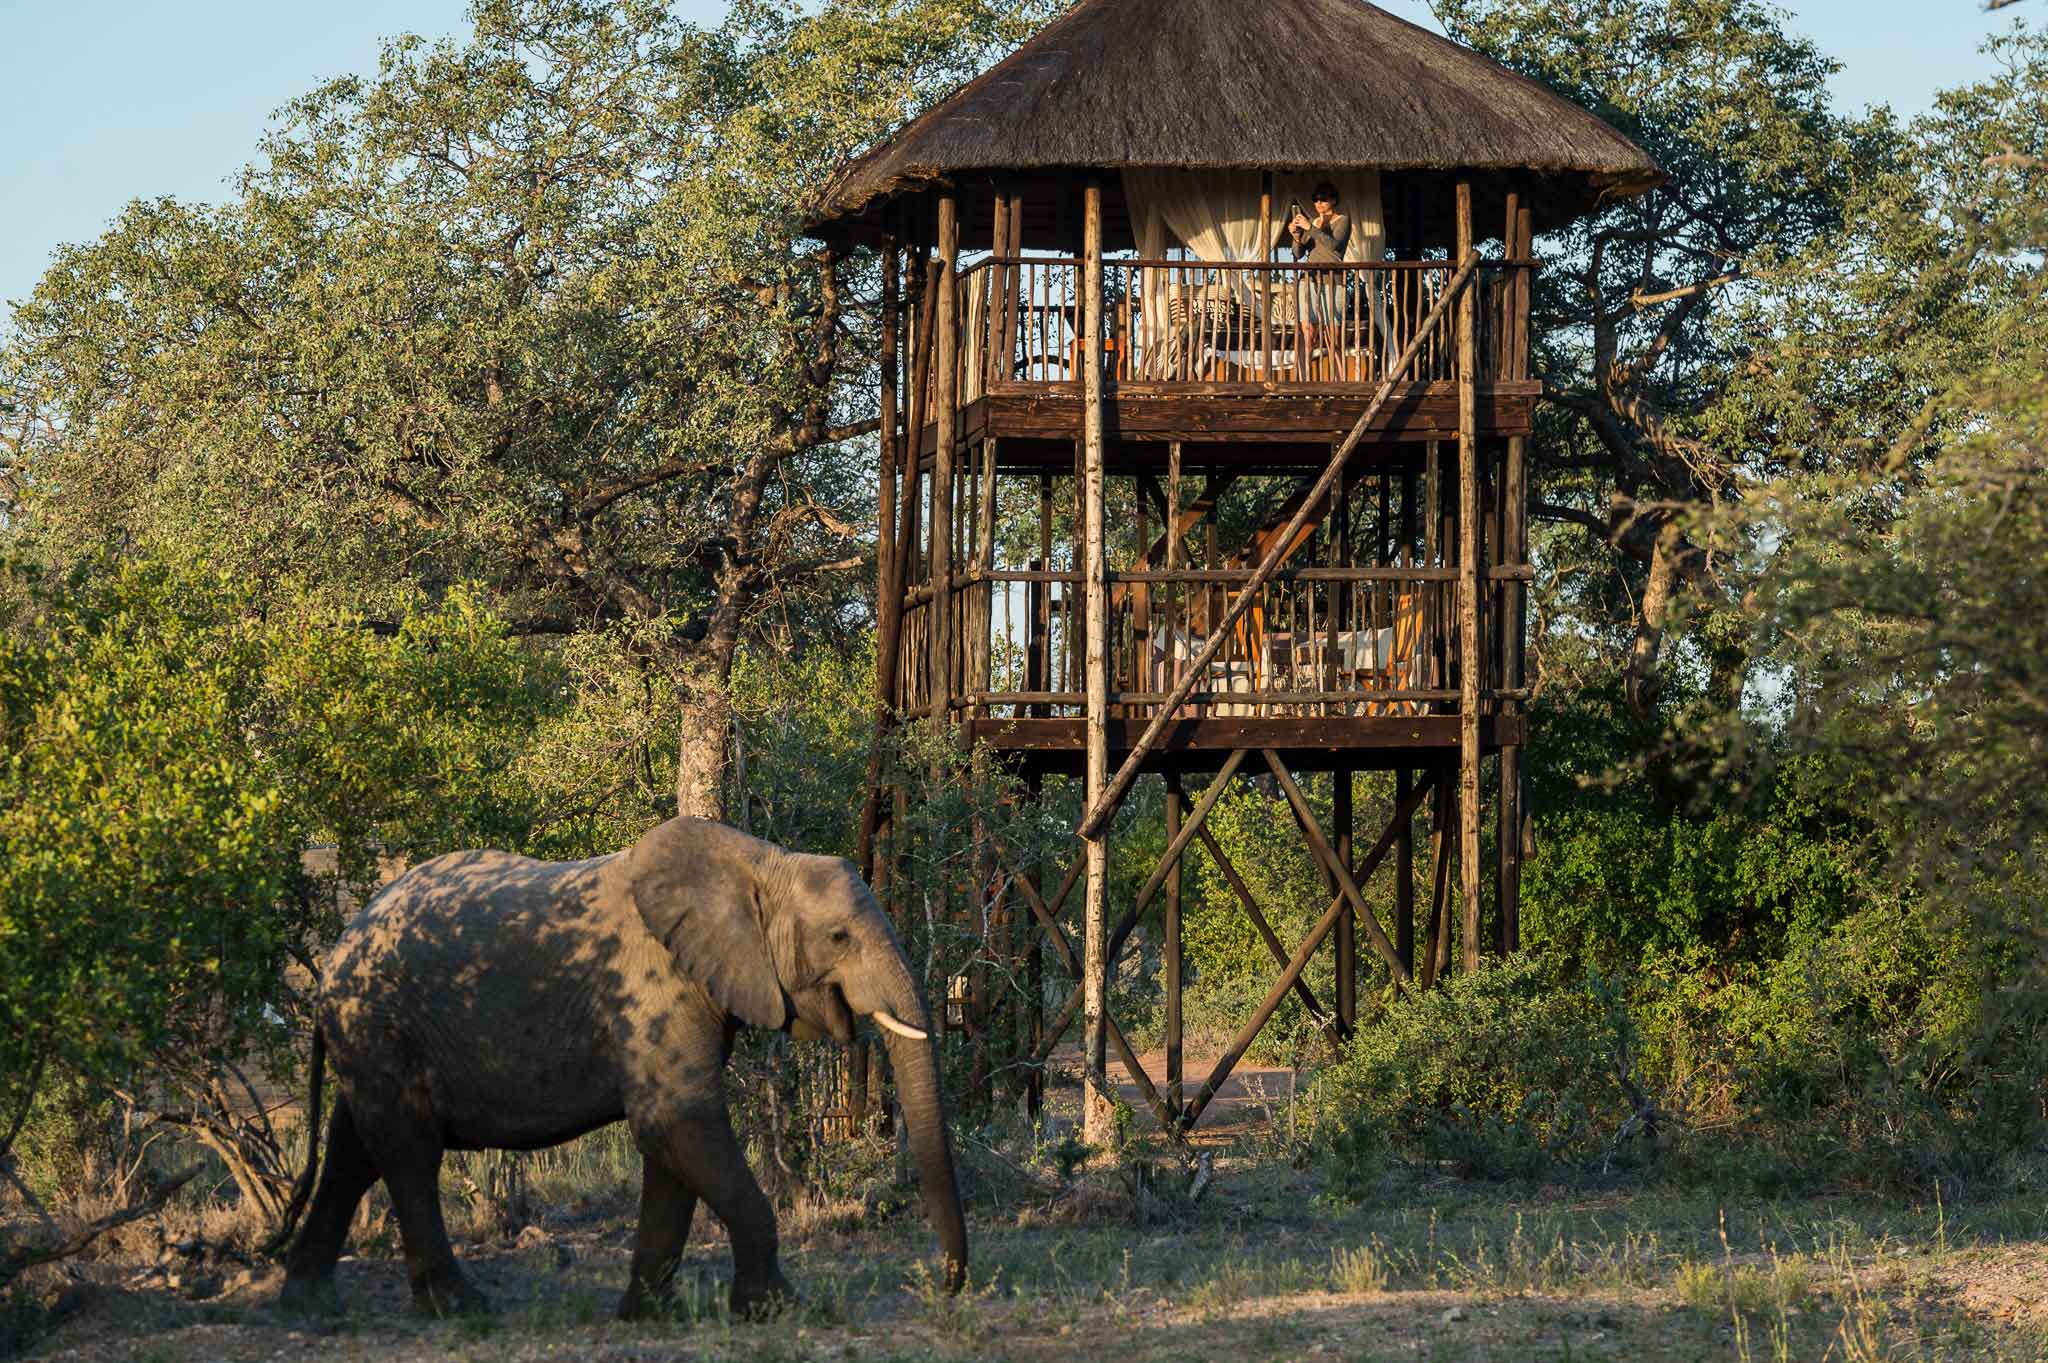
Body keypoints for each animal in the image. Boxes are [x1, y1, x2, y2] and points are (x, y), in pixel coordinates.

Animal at [274, 810, 966, 1309]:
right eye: (839, 937)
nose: (946, 1283)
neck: (757, 861)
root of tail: (333, 959)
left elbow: (671, 1141)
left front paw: (650, 1315)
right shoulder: (652, 985)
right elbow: (681, 1121)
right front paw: (780, 1310)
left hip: (371, 1036)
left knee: (355, 1150)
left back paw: (309, 1306)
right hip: (377, 1021)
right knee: (408, 1152)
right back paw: (461, 1309)